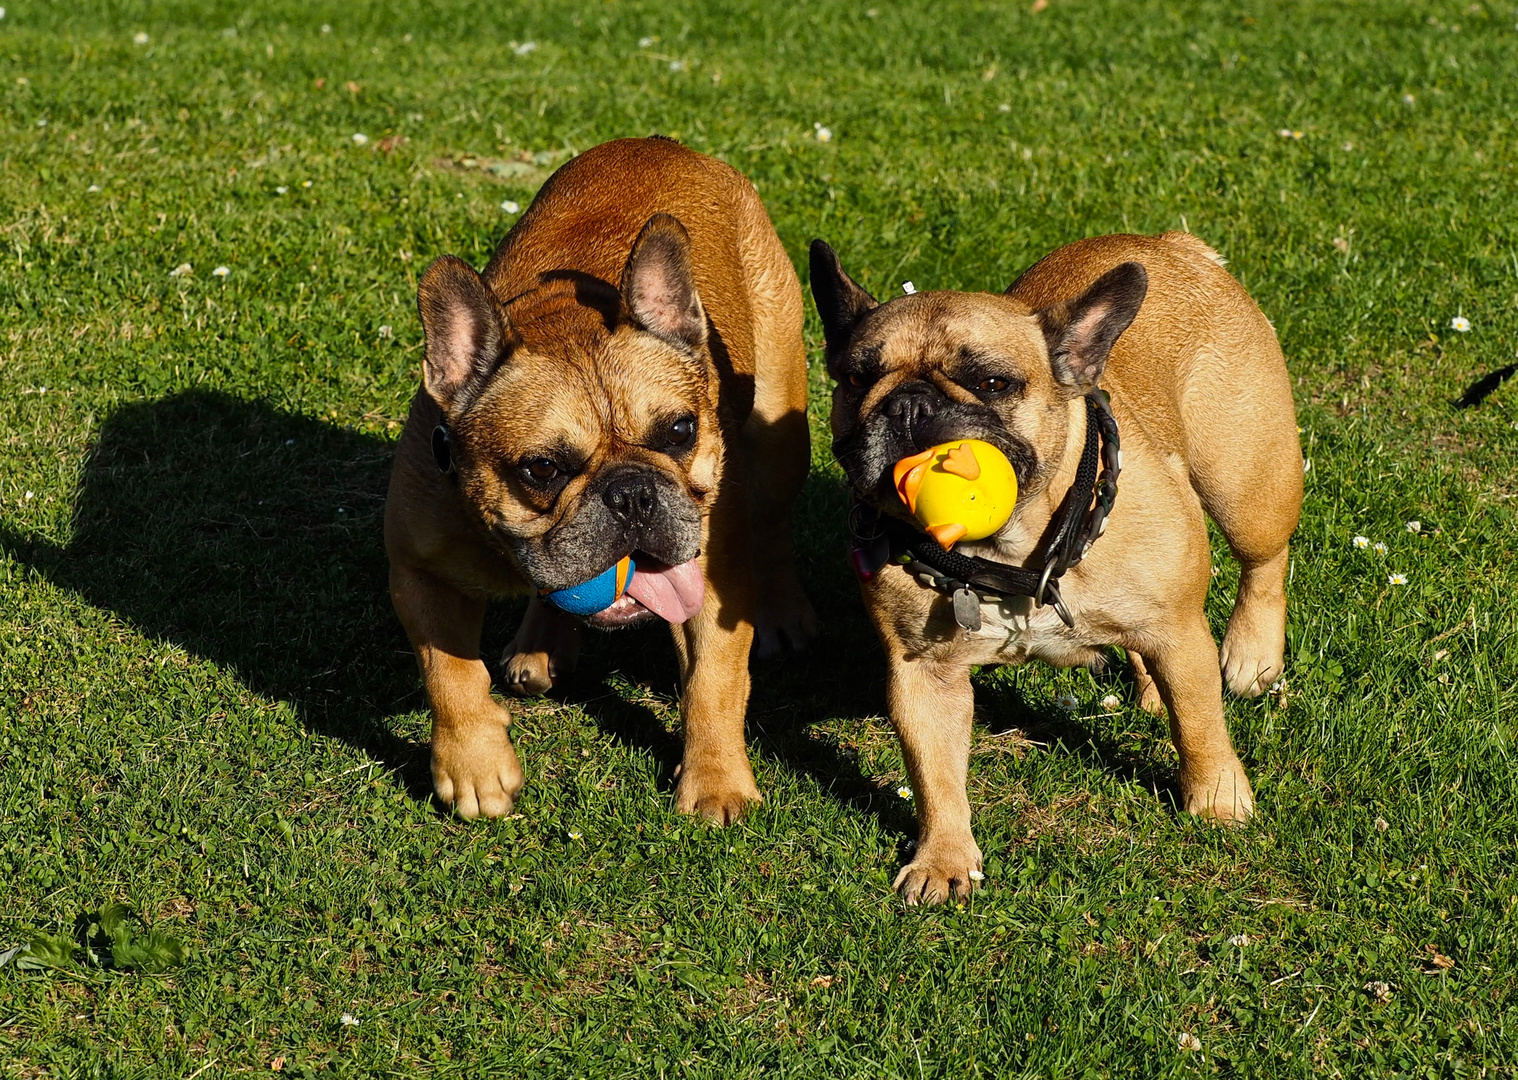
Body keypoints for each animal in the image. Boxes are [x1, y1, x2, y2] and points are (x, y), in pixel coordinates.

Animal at [813, 233, 1299, 905]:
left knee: (1264, 561)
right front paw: (943, 858)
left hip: (1245, 481)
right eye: (857, 378)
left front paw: (1218, 800)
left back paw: (1253, 654)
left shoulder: (1178, 629)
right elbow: (934, 773)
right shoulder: (923, 675)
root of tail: (1174, 245)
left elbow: (1202, 725)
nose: (908, 404)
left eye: (993, 382)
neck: (1007, 554)